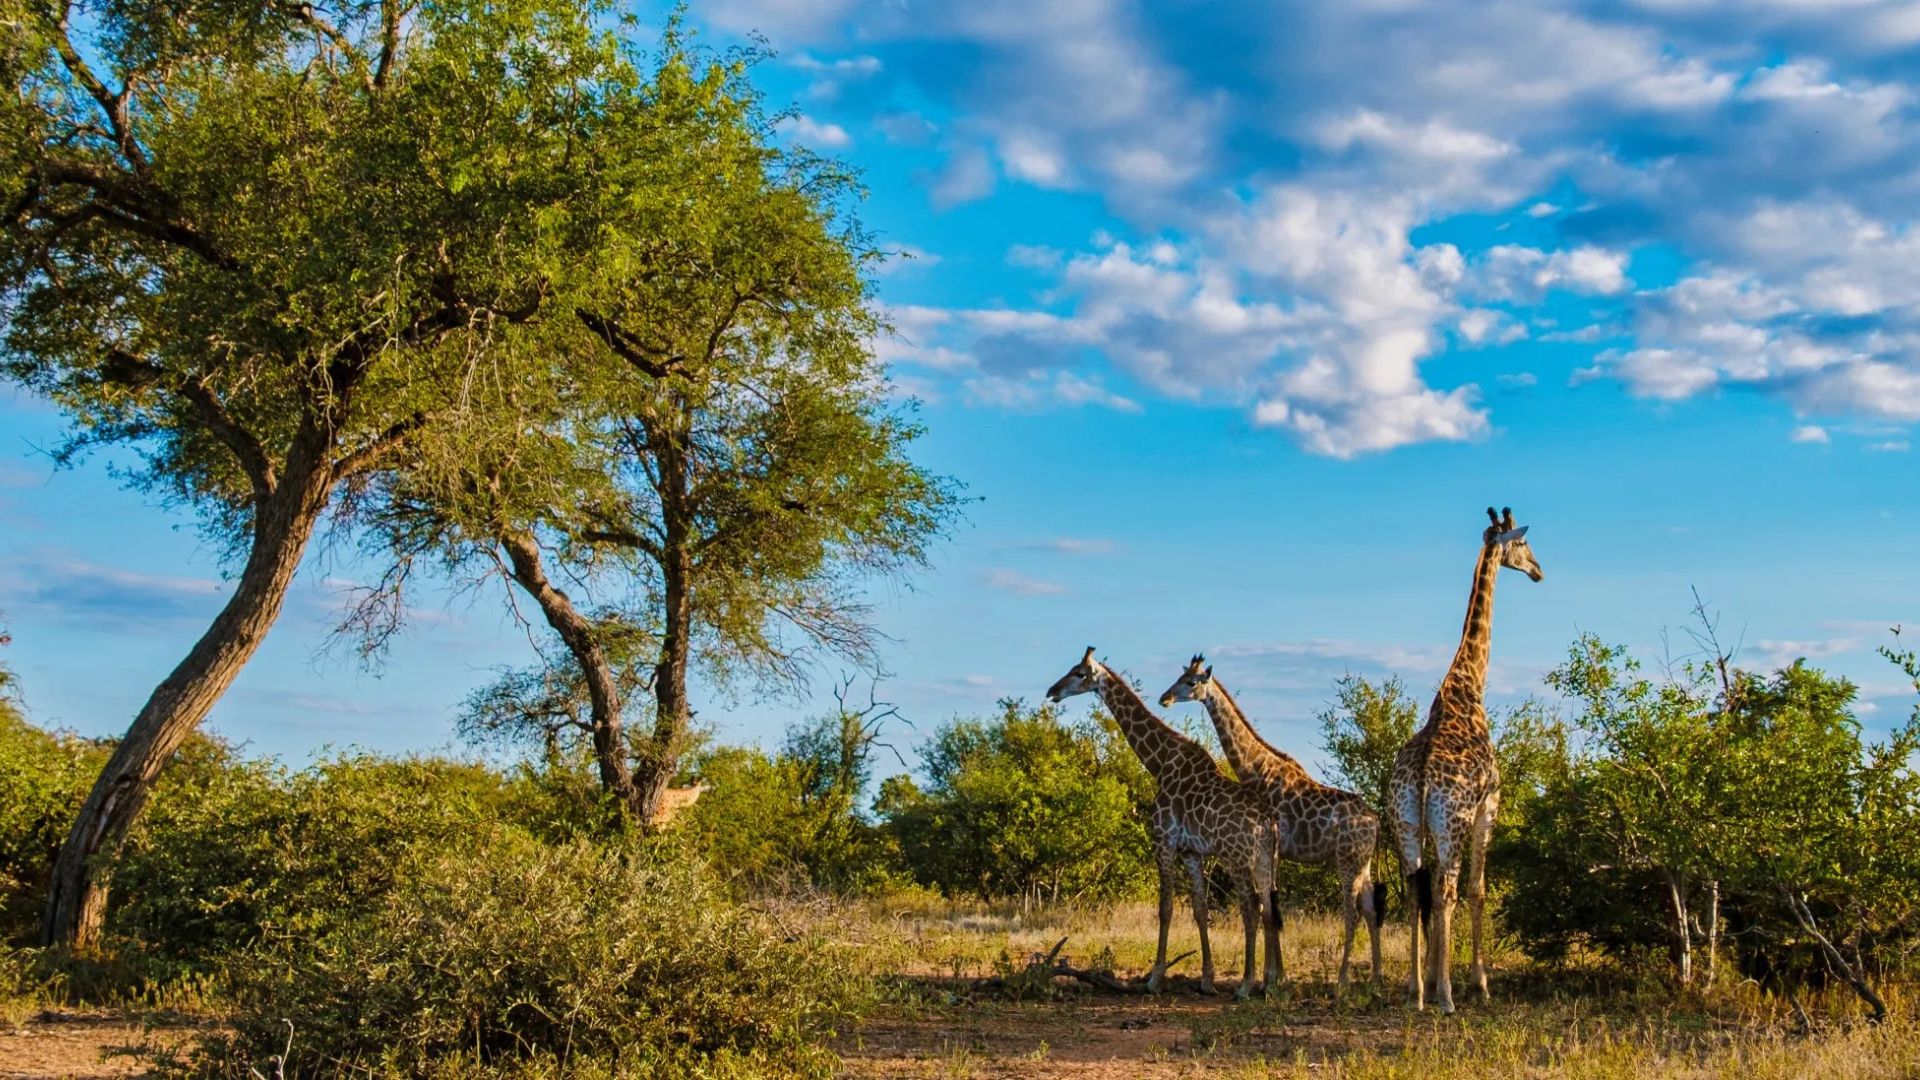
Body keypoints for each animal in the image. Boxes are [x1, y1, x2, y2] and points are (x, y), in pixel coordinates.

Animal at [1044, 641, 1282, 999]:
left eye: (1079, 673)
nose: (1052, 691)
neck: (1160, 763)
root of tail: (1268, 822)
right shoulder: (1192, 852)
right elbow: (1199, 909)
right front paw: (1207, 980)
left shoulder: (1163, 842)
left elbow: (1166, 908)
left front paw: (1155, 979)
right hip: (1265, 857)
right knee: (1268, 907)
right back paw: (1267, 983)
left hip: (1236, 857)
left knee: (1251, 907)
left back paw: (1245, 985)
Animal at [1152, 661, 1382, 999]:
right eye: (1179, 676)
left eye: (1191, 682)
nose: (1165, 698)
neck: (1255, 769)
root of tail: (1376, 821)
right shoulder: (1275, 852)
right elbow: (1269, 906)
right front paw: (1271, 977)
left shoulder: (1274, 848)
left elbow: (1266, 908)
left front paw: (1271, 979)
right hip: (1363, 863)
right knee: (1370, 909)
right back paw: (1375, 981)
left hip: (1347, 861)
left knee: (1352, 913)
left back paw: (1341, 984)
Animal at [1382, 503, 1543, 1006]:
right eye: (1523, 543)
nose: (1538, 571)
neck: (1468, 683)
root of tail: (1419, 779)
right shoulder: (1490, 805)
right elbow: (1478, 890)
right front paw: (1479, 982)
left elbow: (1431, 892)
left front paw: (1431, 977)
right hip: (1451, 823)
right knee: (1448, 889)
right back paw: (1448, 996)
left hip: (1406, 823)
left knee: (1417, 889)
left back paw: (1416, 990)